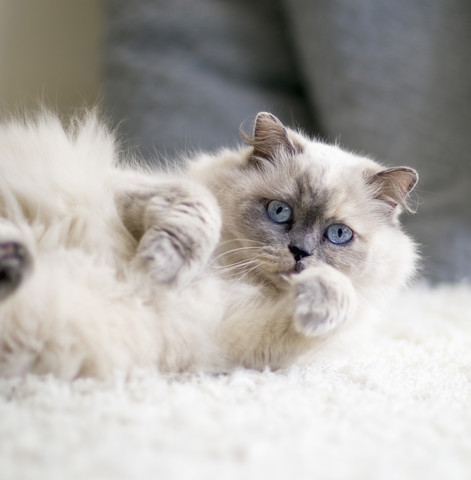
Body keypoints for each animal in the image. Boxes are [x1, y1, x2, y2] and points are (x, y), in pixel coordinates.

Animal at [0, 112, 420, 378]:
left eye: (338, 235)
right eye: (279, 211)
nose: (300, 253)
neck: (237, 277)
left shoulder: (230, 341)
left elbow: (334, 302)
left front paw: (315, 302)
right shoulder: (129, 188)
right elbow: (201, 211)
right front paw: (159, 268)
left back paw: (13, 266)